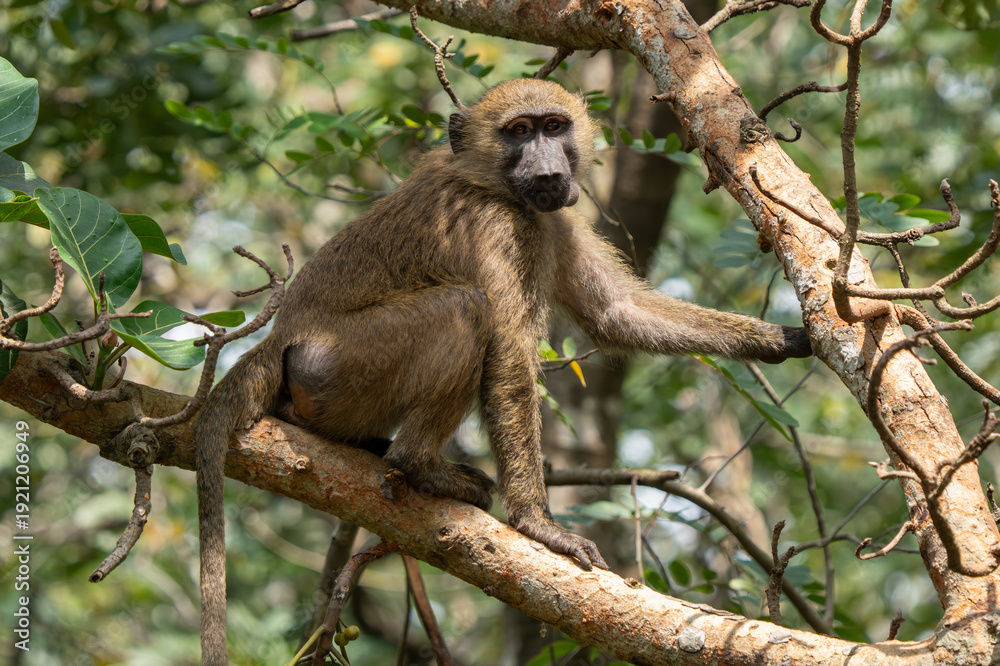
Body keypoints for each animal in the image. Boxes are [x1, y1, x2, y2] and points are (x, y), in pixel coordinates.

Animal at [194, 78, 811, 664]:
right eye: (518, 132)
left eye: (553, 126)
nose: (549, 171)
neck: (493, 184)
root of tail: (282, 337)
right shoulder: (494, 226)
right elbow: (511, 355)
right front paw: (539, 526)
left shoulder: (554, 219)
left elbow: (617, 314)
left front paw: (784, 338)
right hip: (339, 364)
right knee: (465, 308)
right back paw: (417, 466)